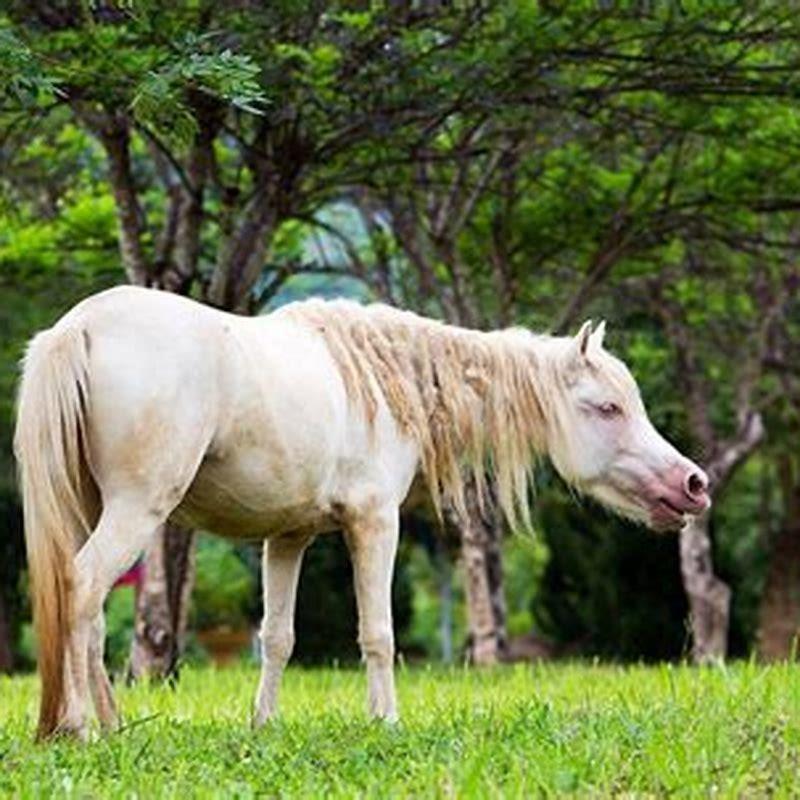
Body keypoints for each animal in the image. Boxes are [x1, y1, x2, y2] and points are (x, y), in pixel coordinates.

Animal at [14, 286, 710, 740]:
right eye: (608, 408)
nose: (694, 484)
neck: (383, 375)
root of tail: (78, 328)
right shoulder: (375, 523)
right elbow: (378, 633)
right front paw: (387, 721)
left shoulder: (287, 537)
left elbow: (277, 638)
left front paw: (263, 725)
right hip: (135, 512)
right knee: (81, 590)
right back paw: (79, 727)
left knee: (89, 611)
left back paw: (111, 723)